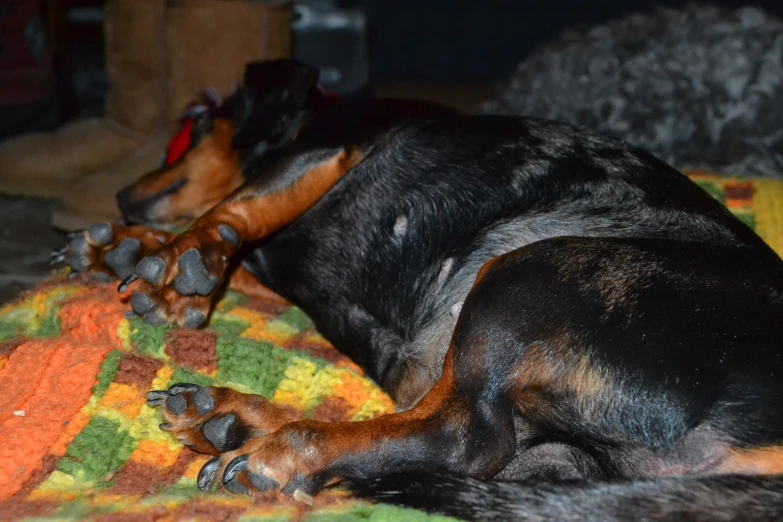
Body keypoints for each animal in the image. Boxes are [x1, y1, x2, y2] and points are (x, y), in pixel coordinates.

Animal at [59, 59, 783, 516]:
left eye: (200, 128)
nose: (124, 196)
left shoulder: (326, 151)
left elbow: (238, 205)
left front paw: (183, 266)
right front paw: (122, 247)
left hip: (526, 271)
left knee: (460, 436)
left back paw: (278, 447)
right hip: (562, 450)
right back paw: (231, 416)